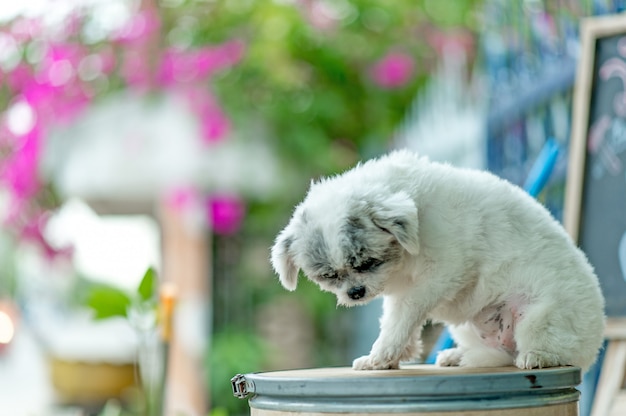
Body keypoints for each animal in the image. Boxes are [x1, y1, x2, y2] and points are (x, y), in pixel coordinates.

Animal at [270, 149, 604, 370]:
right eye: (329, 276)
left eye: (367, 263)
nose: (355, 293)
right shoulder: (402, 288)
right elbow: (394, 318)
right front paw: (395, 355)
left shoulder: (439, 275)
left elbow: (402, 318)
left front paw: (382, 355)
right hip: (468, 327)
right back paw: (458, 356)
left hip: (539, 317)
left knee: (555, 350)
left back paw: (537, 357)